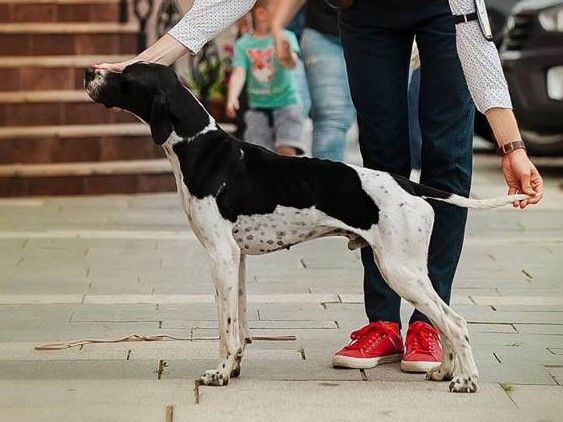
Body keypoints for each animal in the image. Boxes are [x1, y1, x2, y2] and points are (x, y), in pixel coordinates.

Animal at [86, 62, 528, 392]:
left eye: (125, 74)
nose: (88, 71)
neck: (198, 145)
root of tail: (407, 184)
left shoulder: (220, 256)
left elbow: (226, 328)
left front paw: (220, 374)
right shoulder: (237, 260)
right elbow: (239, 325)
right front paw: (235, 368)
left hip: (399, 270)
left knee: (455, 322)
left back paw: (467, 380)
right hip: (407, 272)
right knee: (443, 321)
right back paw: (444, 371)